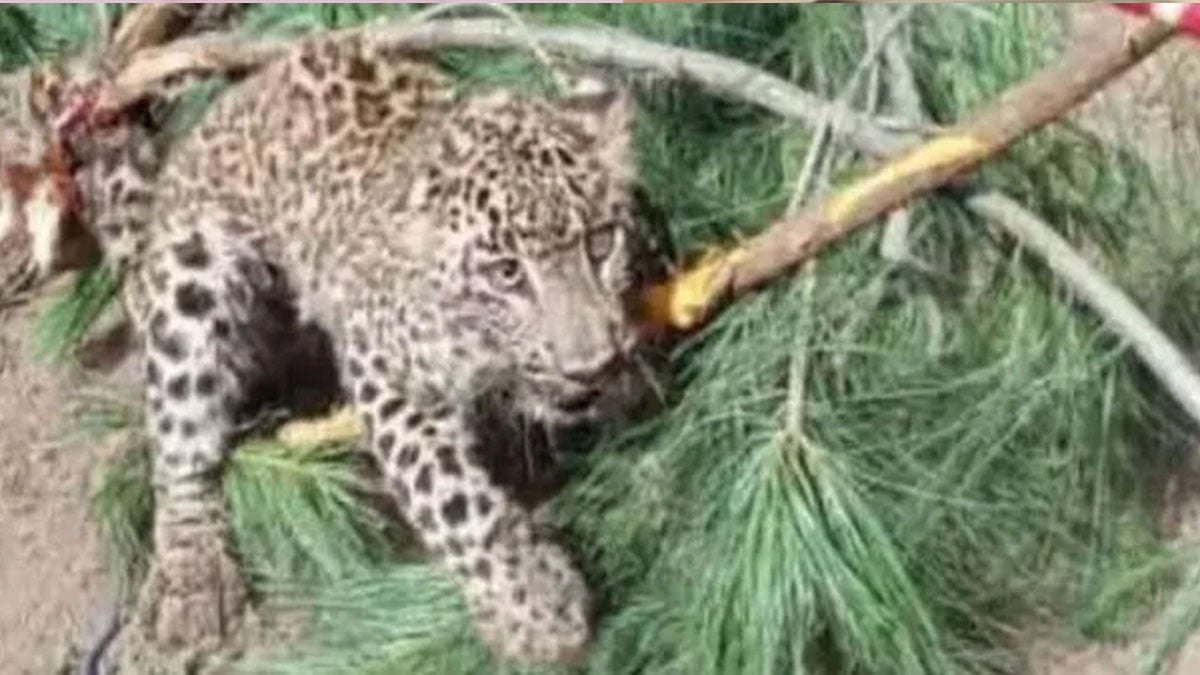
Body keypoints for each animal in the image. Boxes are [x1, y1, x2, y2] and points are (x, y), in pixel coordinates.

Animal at [2, 28, 669, 671]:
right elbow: (450, 495)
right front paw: (534, 603)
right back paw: (194, 575)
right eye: (506, 274)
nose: (590, 366)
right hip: (193, 270)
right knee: (178, 443)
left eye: (602, 242)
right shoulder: (384, 373)